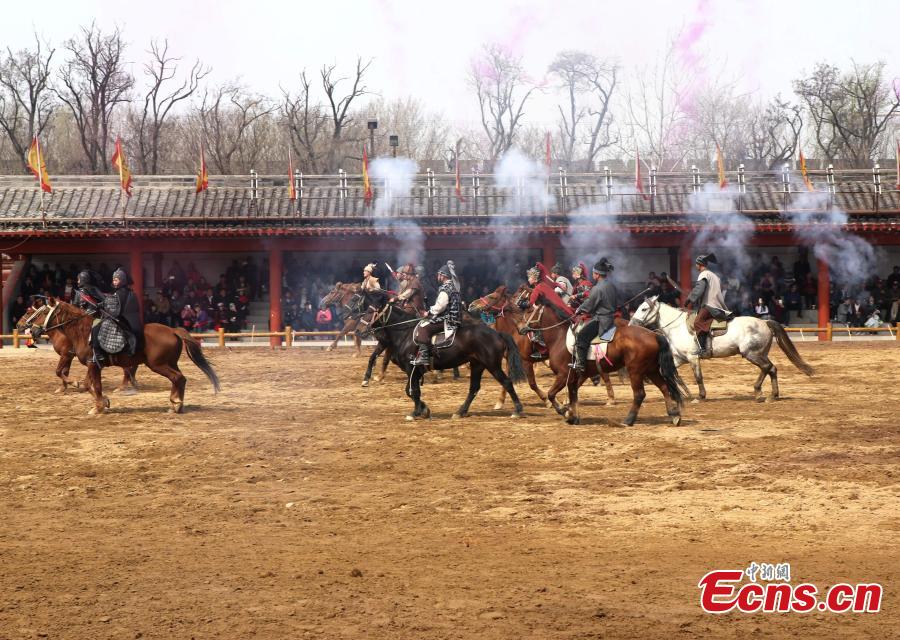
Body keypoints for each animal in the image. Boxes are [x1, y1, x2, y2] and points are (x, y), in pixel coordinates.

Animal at [29, 296, 220, 412]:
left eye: (43, 312)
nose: (33, 331)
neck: (83, 331)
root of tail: (173, 330)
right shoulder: (92, 365)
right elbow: (89, 385)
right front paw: (103, 402)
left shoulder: (92, 363)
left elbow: (93, 385)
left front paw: (98, 407)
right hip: (170, 363)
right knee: (179, 379)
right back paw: (175, 403)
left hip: (158, 365)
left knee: (178, 378)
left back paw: (176, 404)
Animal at [358, 290, 528, 420]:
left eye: (371, 311)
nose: (359, 330)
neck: (404, 333)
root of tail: (497, 334)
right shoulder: (415, 371)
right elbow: (411, 390)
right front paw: (424, 410)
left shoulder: (411, 369)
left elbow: (413, 390)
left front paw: (416, 412)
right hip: (477, 365)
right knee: (474, 388)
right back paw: (460, 411)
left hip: (492, 365)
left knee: (506, 382)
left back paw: (518, 410)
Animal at [464, 284, 620, 410]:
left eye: (492, 296)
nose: (472, 305)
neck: (513, 330)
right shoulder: (509, 359)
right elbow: (505, 381)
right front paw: (499, 402)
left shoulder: (526, 361)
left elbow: (532, 384)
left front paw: (547, 401)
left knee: (601, 373)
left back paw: (609, 399)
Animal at [512, 296, 684, 428]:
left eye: (529, 311)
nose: (520, 328)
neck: (558, 337)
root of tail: (654, 334)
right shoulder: (573, 378)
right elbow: (573, 396)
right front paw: (573, 416)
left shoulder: (563, 375)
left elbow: (551, 394)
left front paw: (565, 412)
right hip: (651, 370)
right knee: (664, 388)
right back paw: (674, 415)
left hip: (635, 371)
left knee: (639, 394)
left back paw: (628, 420)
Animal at [624, 296, 816, 400]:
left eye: (644, 309)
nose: (632, 324)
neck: (676, 327)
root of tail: (765, 322)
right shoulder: (679, 358)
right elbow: (671, 373)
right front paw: (687, 394)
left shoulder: (693, 358)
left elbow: (698, 377)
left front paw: (700, 396)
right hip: (759, 353)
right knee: (771, 369)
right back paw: (772, 394)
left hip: (751, 353)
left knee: (767, 367)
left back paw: (759, 392)